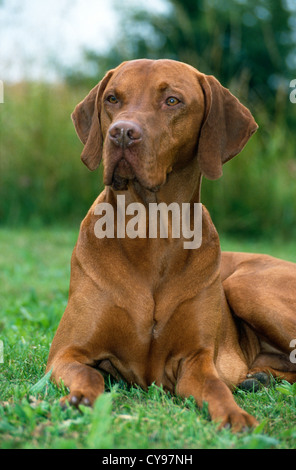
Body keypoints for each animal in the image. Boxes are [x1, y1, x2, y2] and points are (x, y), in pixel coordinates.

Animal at [46, 60, 296, 432]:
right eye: (112, 98)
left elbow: (215, 387)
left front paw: (234, 416)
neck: (152, 229)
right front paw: (78, 400)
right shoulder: (66, 352)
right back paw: (258, 378)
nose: (121, 133)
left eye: (172, 101)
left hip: (245, 285)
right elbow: (90, 375)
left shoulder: (195, 360)